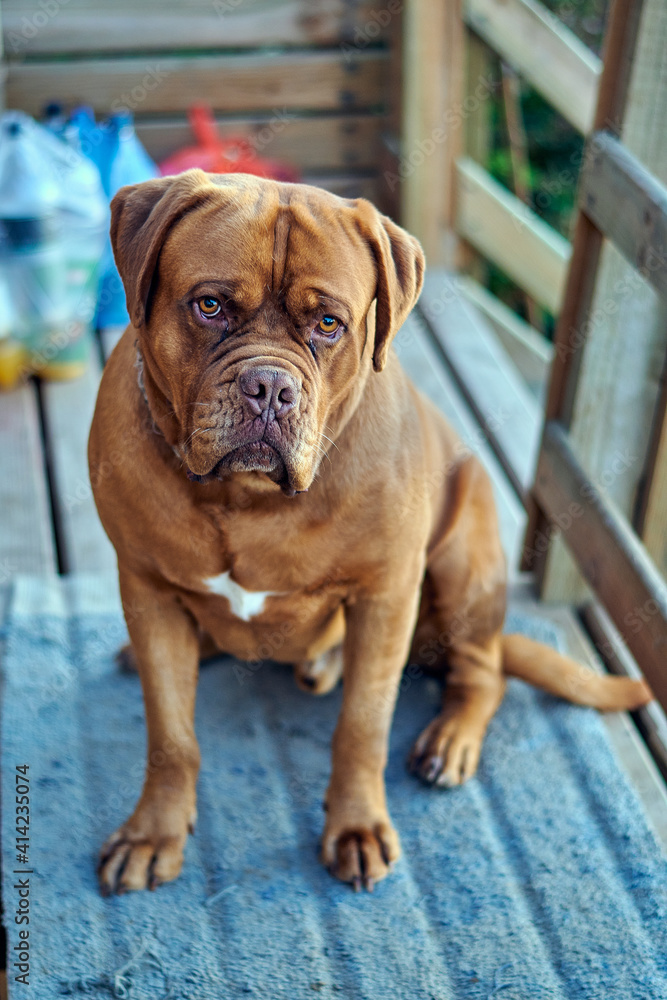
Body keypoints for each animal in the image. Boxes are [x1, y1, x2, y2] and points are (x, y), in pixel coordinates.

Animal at [90, 168, 652, 896]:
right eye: (209, 305)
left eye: (329, 324)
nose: (269, 386)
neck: (247, 499)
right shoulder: (148, 588)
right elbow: (169, 734)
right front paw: (152, 831)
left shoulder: (385, 599)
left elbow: (361, 726)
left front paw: (355, 827)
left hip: (464, 563)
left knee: (484, 672)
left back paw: (450, 739)